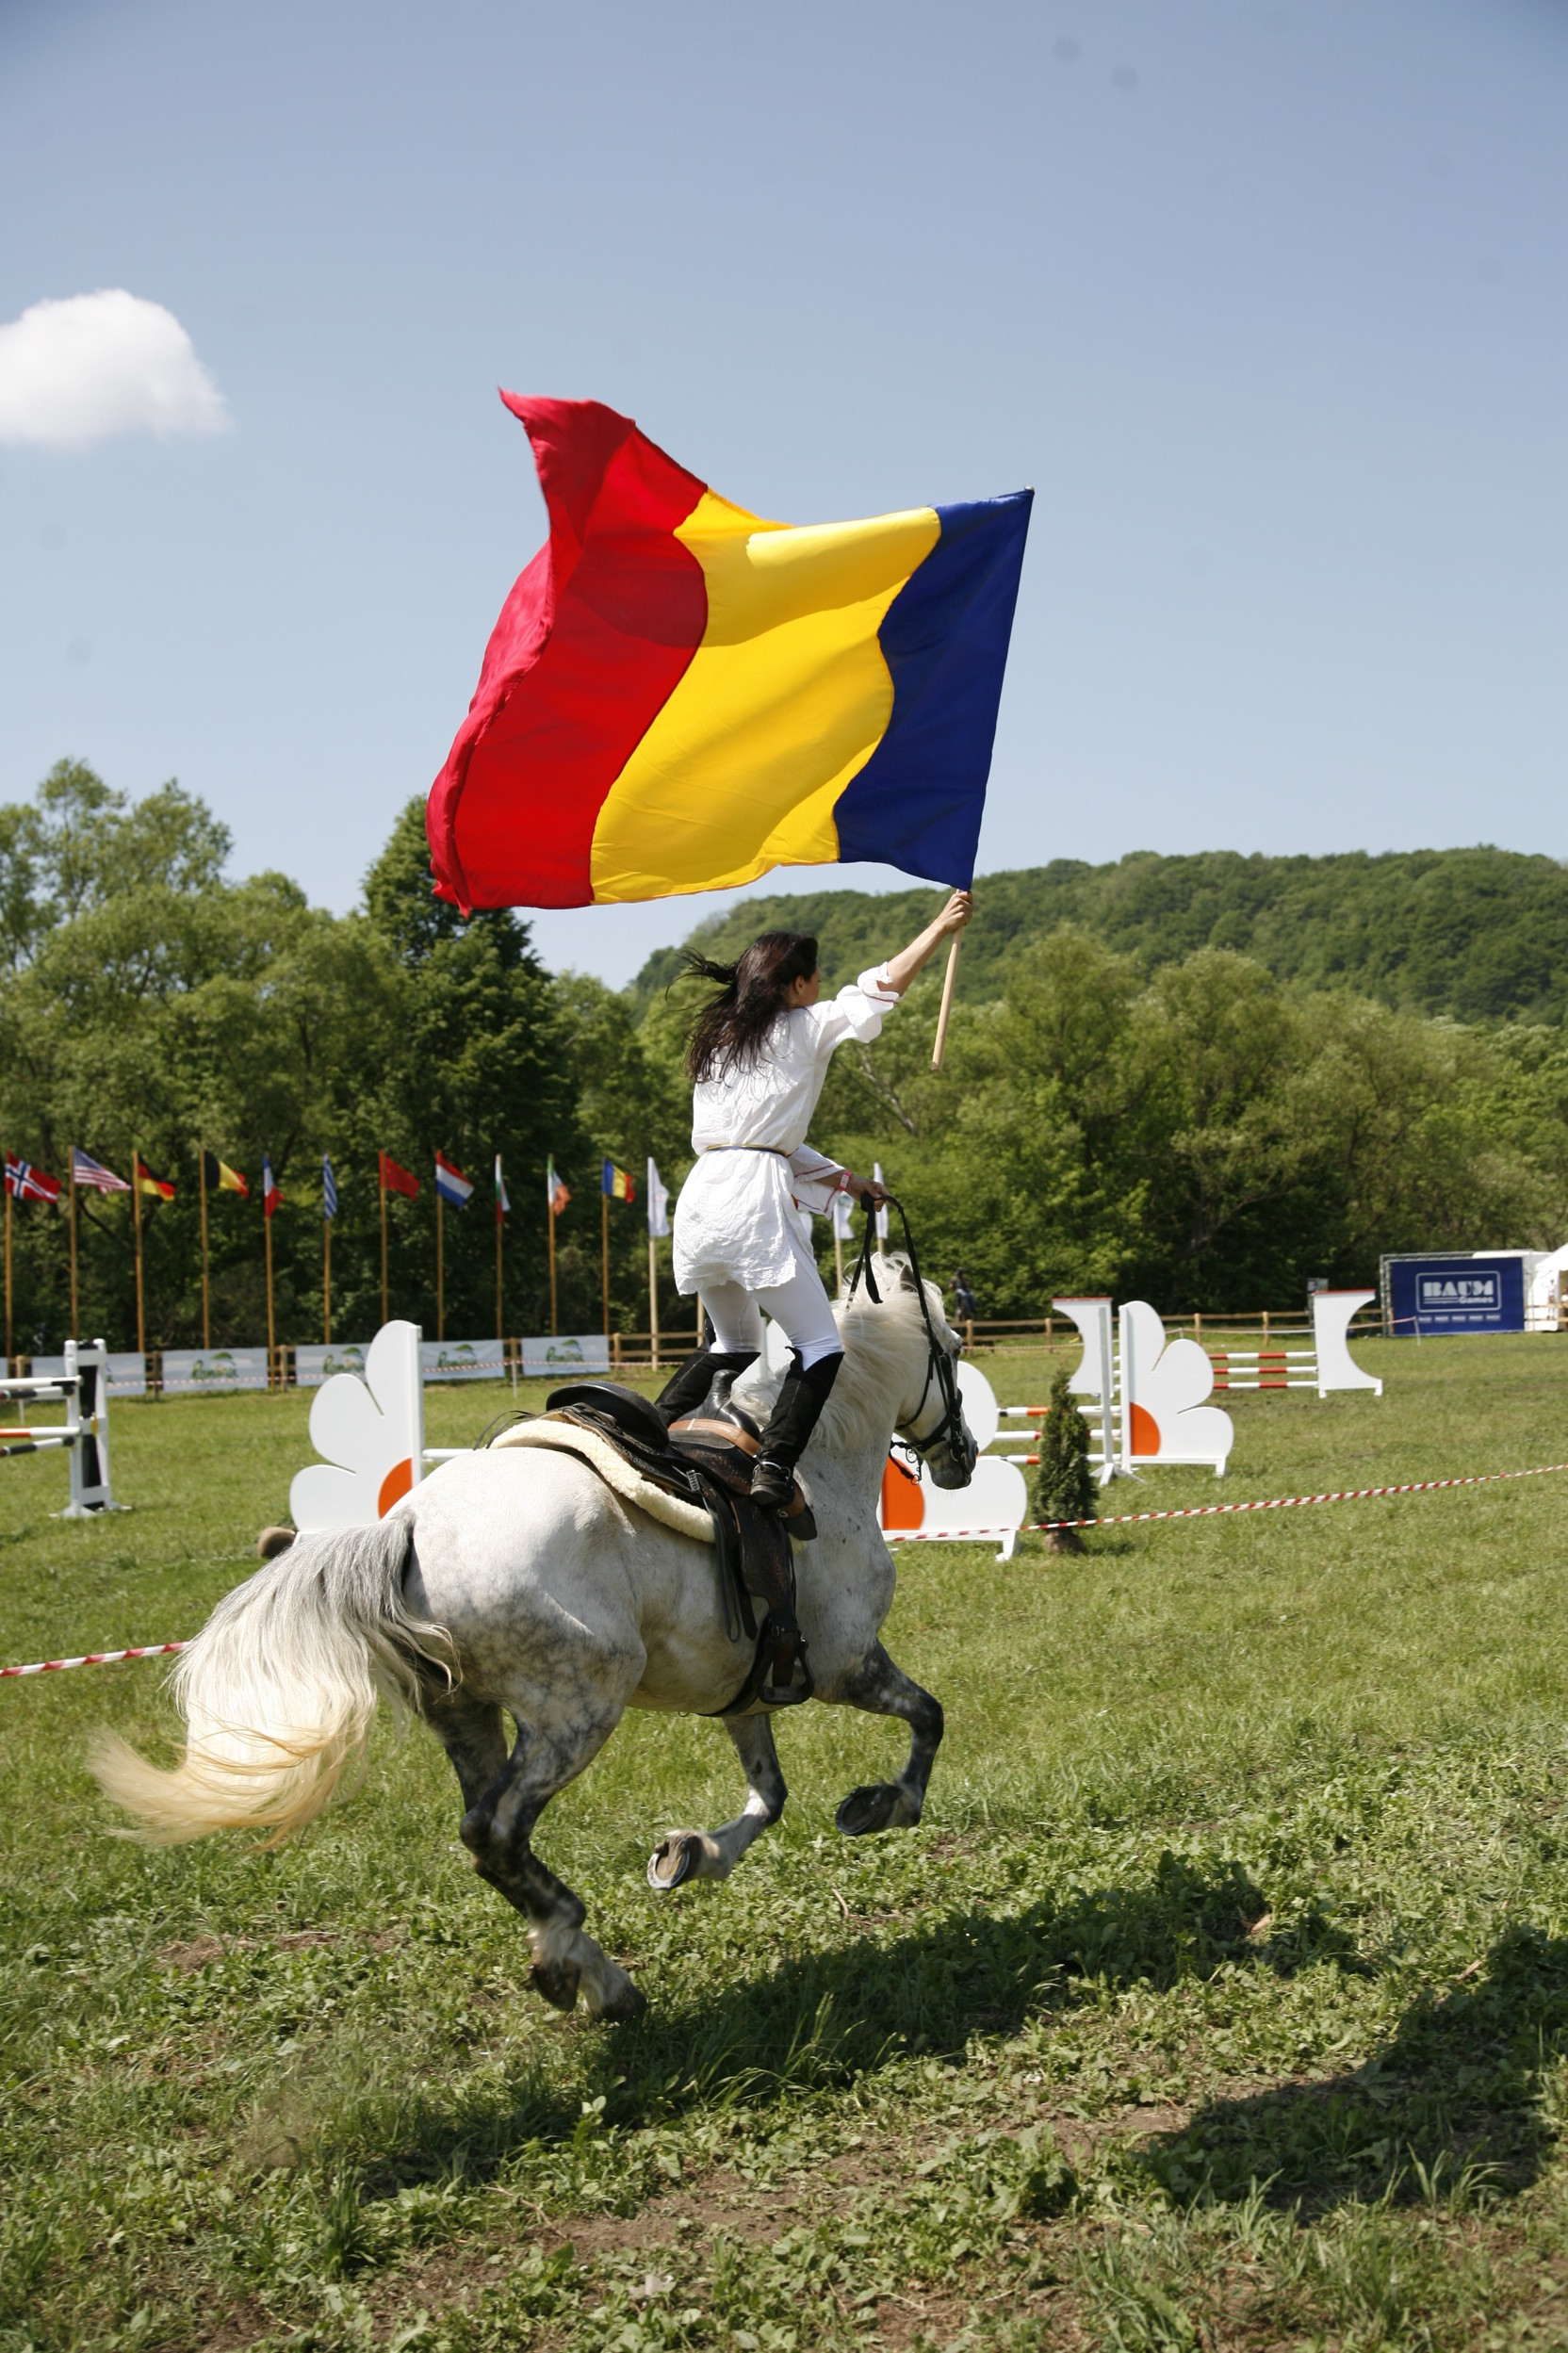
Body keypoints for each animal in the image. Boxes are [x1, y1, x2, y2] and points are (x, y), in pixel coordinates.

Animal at [91, 1258, 974, 2022]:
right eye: (955, 1349)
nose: (962, 1456)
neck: (812, 1459)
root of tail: (408, 1525)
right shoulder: (845, 1665)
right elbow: (927, 1718)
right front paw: (883, 1804)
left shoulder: (744, 1691)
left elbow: (769, 1794)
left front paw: (690, 1854)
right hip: (575, 1712)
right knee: (496, 1833)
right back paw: (575, 1959)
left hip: (466, 1713)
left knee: (486, 1830)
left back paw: (591, 1968)